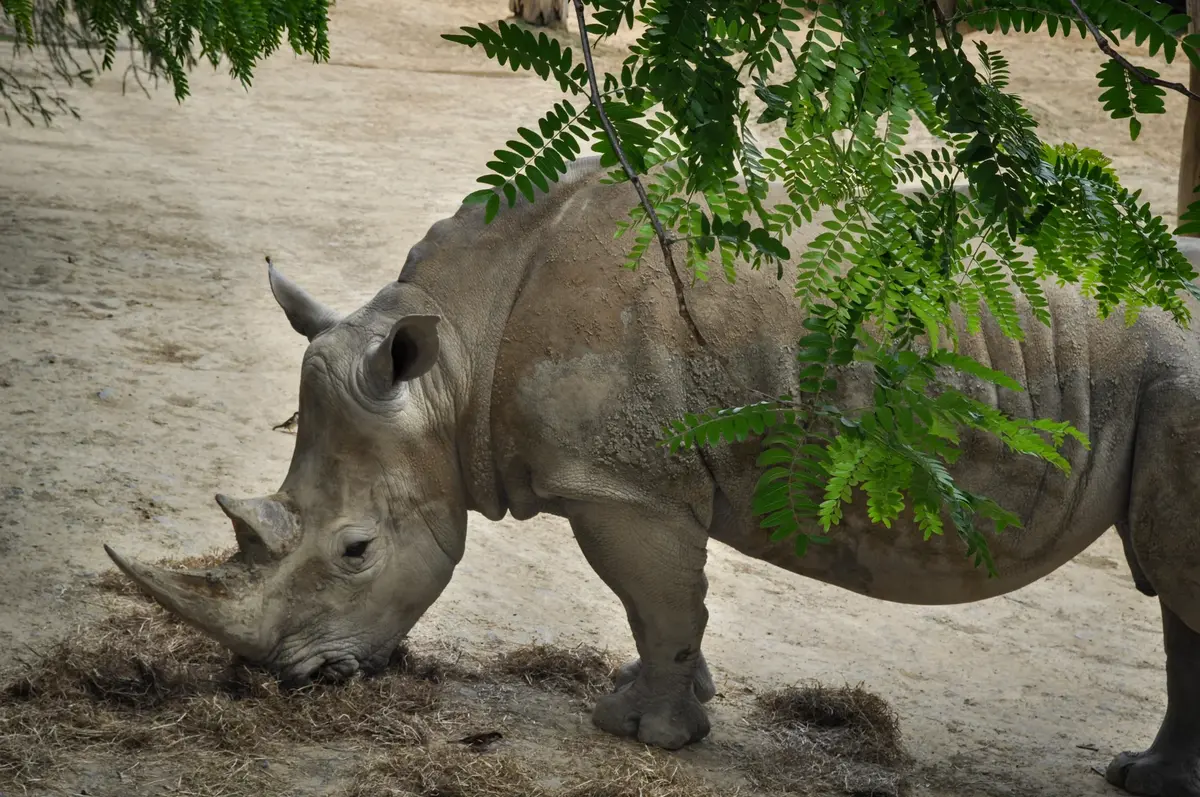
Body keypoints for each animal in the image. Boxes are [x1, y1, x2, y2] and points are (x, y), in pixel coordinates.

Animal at [108, 157, 1200, 797]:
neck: (454, 354)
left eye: (355, 550)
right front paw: (669, 699)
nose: (292, 680)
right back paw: (1142, 777)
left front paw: (644, 735)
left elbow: (656, 600)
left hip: (1180, 373)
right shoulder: (646, 478)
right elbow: (672, 604)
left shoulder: (614, 481)